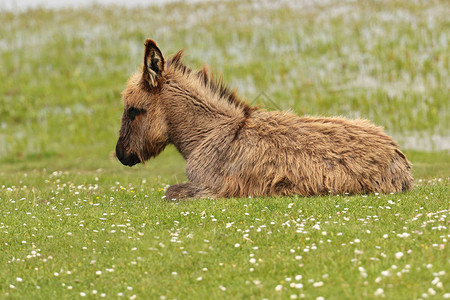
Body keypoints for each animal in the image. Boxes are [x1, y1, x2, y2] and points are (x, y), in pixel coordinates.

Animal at [117, 39, 414, 199]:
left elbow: (171, 192)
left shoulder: (213, 188)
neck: (211, 134)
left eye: (133, 110)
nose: (120, 155)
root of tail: (396, 154)